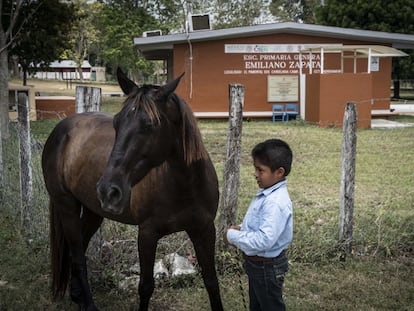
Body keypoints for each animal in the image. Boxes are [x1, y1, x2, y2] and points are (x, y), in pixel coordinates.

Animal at [42, 69, 223, 311]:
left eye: (150, 125)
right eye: (116, 123)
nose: (108, 190)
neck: (185, 186)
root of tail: (60, 129)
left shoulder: (204, 230)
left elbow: (211, 282)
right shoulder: (147, 234)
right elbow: (145, 286)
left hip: (92, 212)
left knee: (77, 250)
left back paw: (78, 296)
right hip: (67, 207)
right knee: (78, 256)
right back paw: (88, 304)